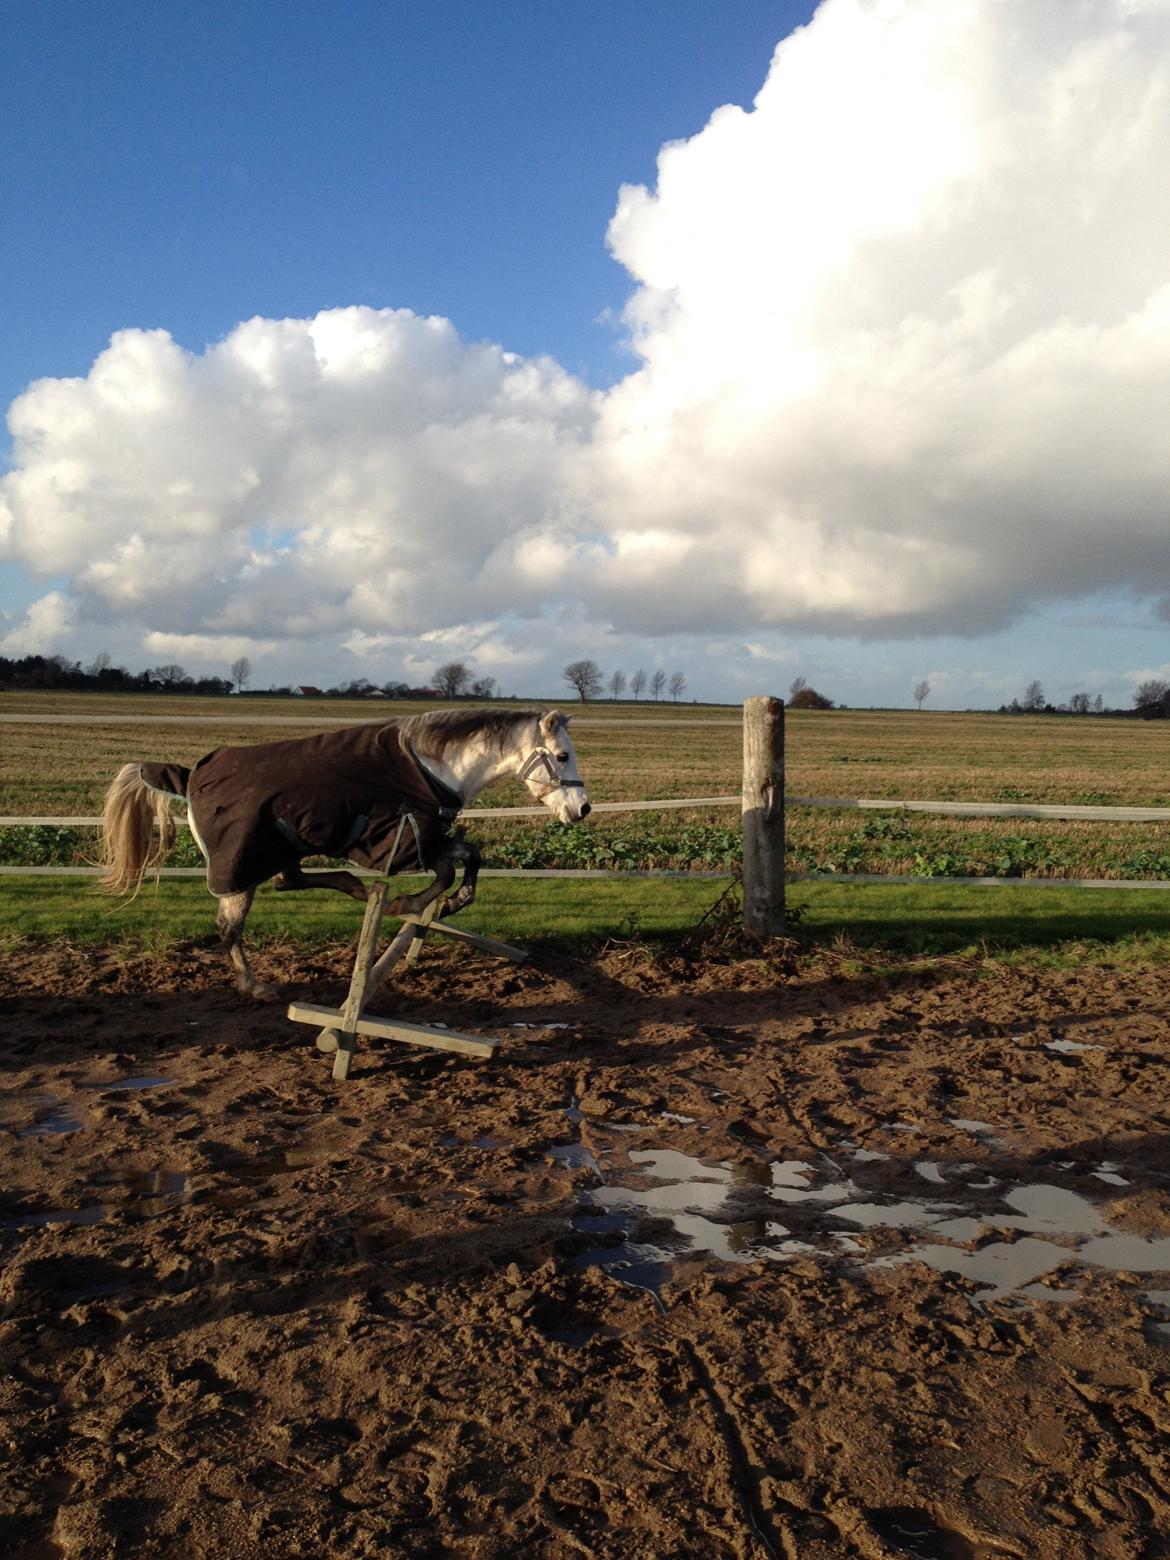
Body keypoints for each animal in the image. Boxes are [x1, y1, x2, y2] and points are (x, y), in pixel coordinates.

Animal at [100, 711, 589, 998]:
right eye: (562, 755)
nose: (582, 808)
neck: (433, 769)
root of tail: (188, 778)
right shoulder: (399, 844)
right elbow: (450, 869)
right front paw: (412, 903)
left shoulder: (423, 841)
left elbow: (470, 858)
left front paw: (447, 905)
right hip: (239, 872)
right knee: (230, 929)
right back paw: (254, 986)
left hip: (287, 850)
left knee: (289, 881)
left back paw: (351, 886)